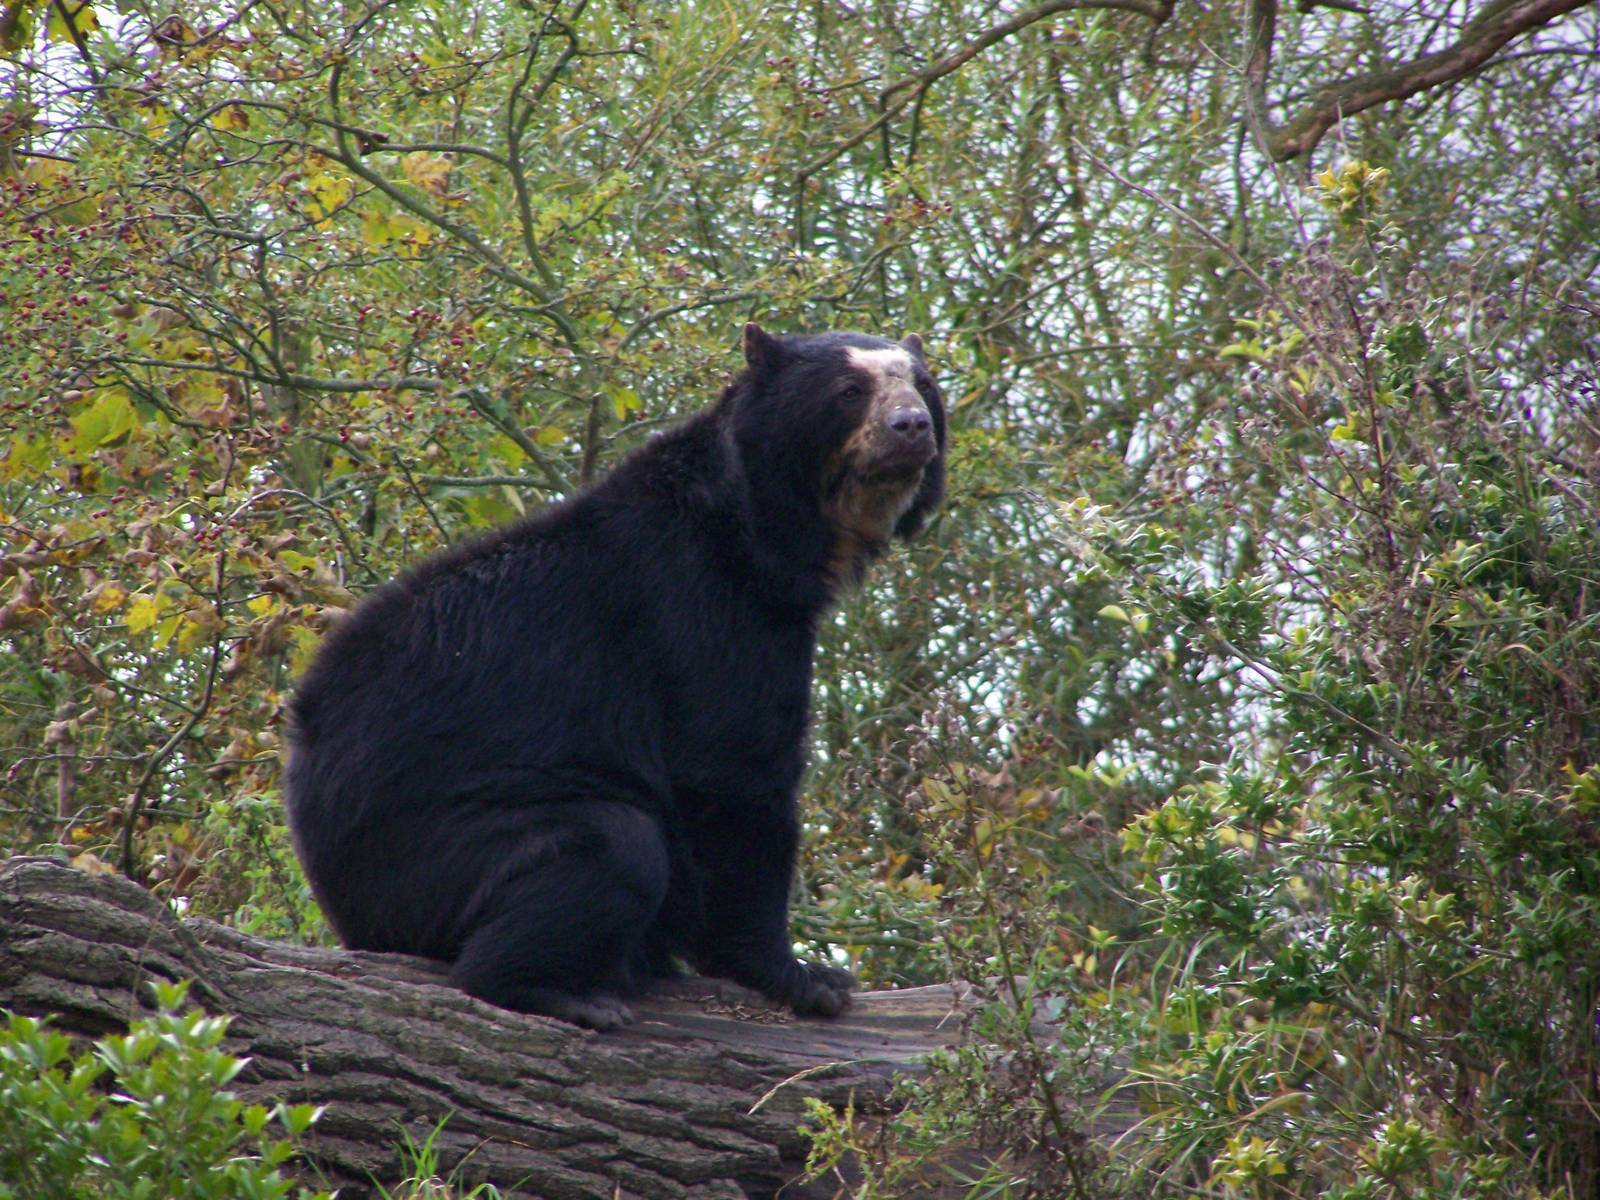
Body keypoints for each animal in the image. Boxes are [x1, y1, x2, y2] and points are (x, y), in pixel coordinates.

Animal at [283, 324, 946, 1030]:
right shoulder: (705, 612)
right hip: (428, 857)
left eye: (922, 386)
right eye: (850, 391)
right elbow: (732, 775)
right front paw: (804, 977)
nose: (912, 427)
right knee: (614, 845)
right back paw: (564, 992)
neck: (765, 537)